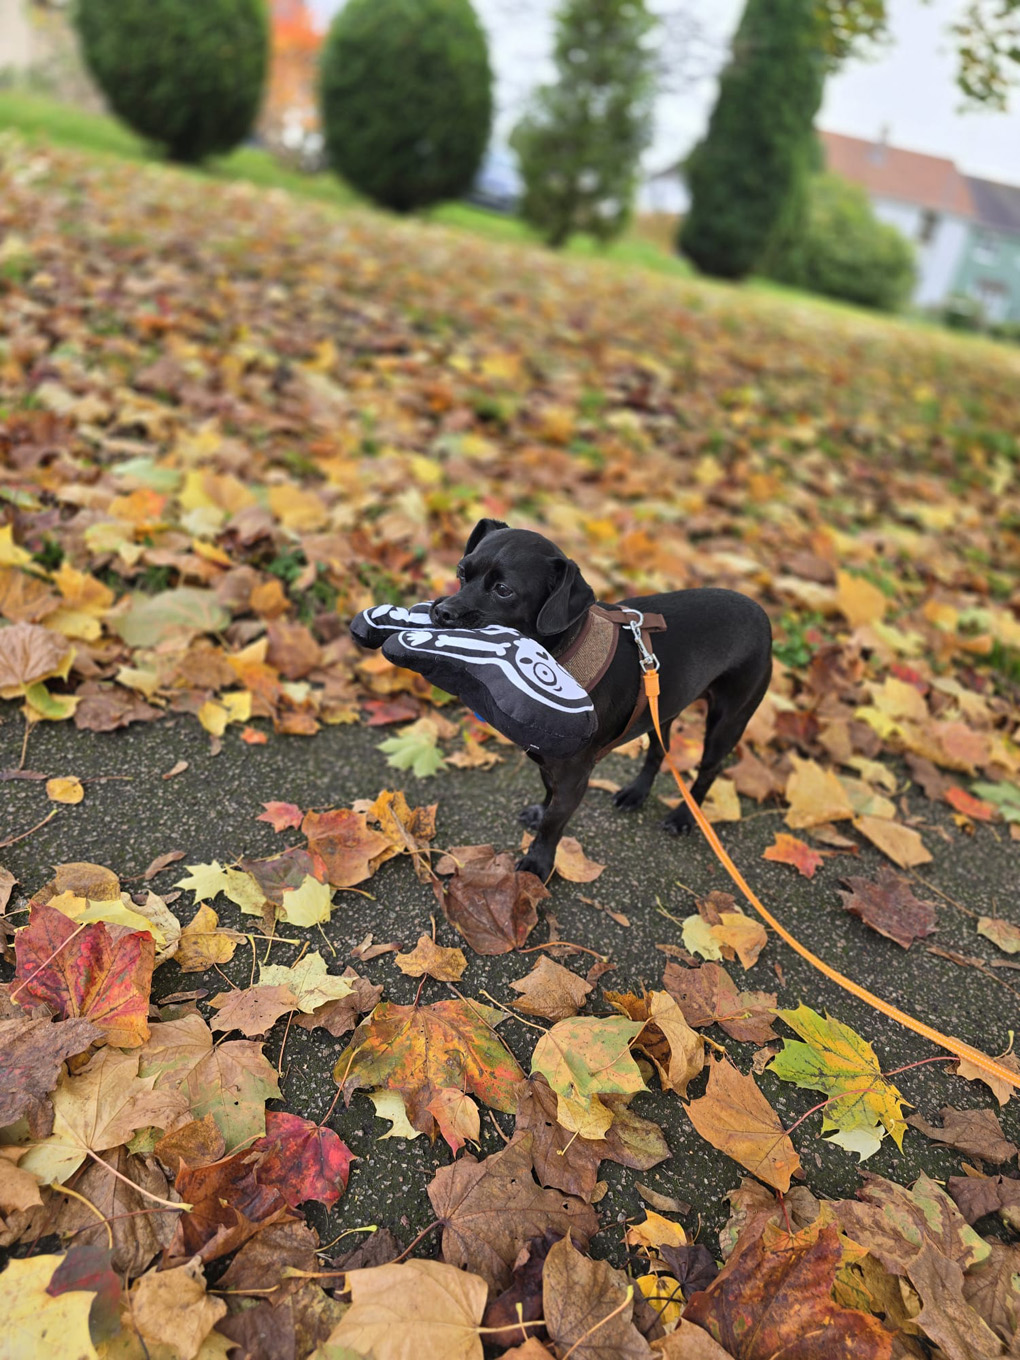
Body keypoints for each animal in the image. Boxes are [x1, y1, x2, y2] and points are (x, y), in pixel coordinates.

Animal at [432, 519, 772, 881]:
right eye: (461, 572)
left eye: (503, 590)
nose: (442, 612)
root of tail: (762, 614)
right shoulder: (551, 761)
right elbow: (548, 792)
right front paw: (540, 811)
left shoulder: (574, 775)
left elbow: (554, 824)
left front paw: (538, 864)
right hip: (660, 708)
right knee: (657, 750)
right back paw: (636, 793)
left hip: (727, 721)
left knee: (708, 771)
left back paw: (684, 817)